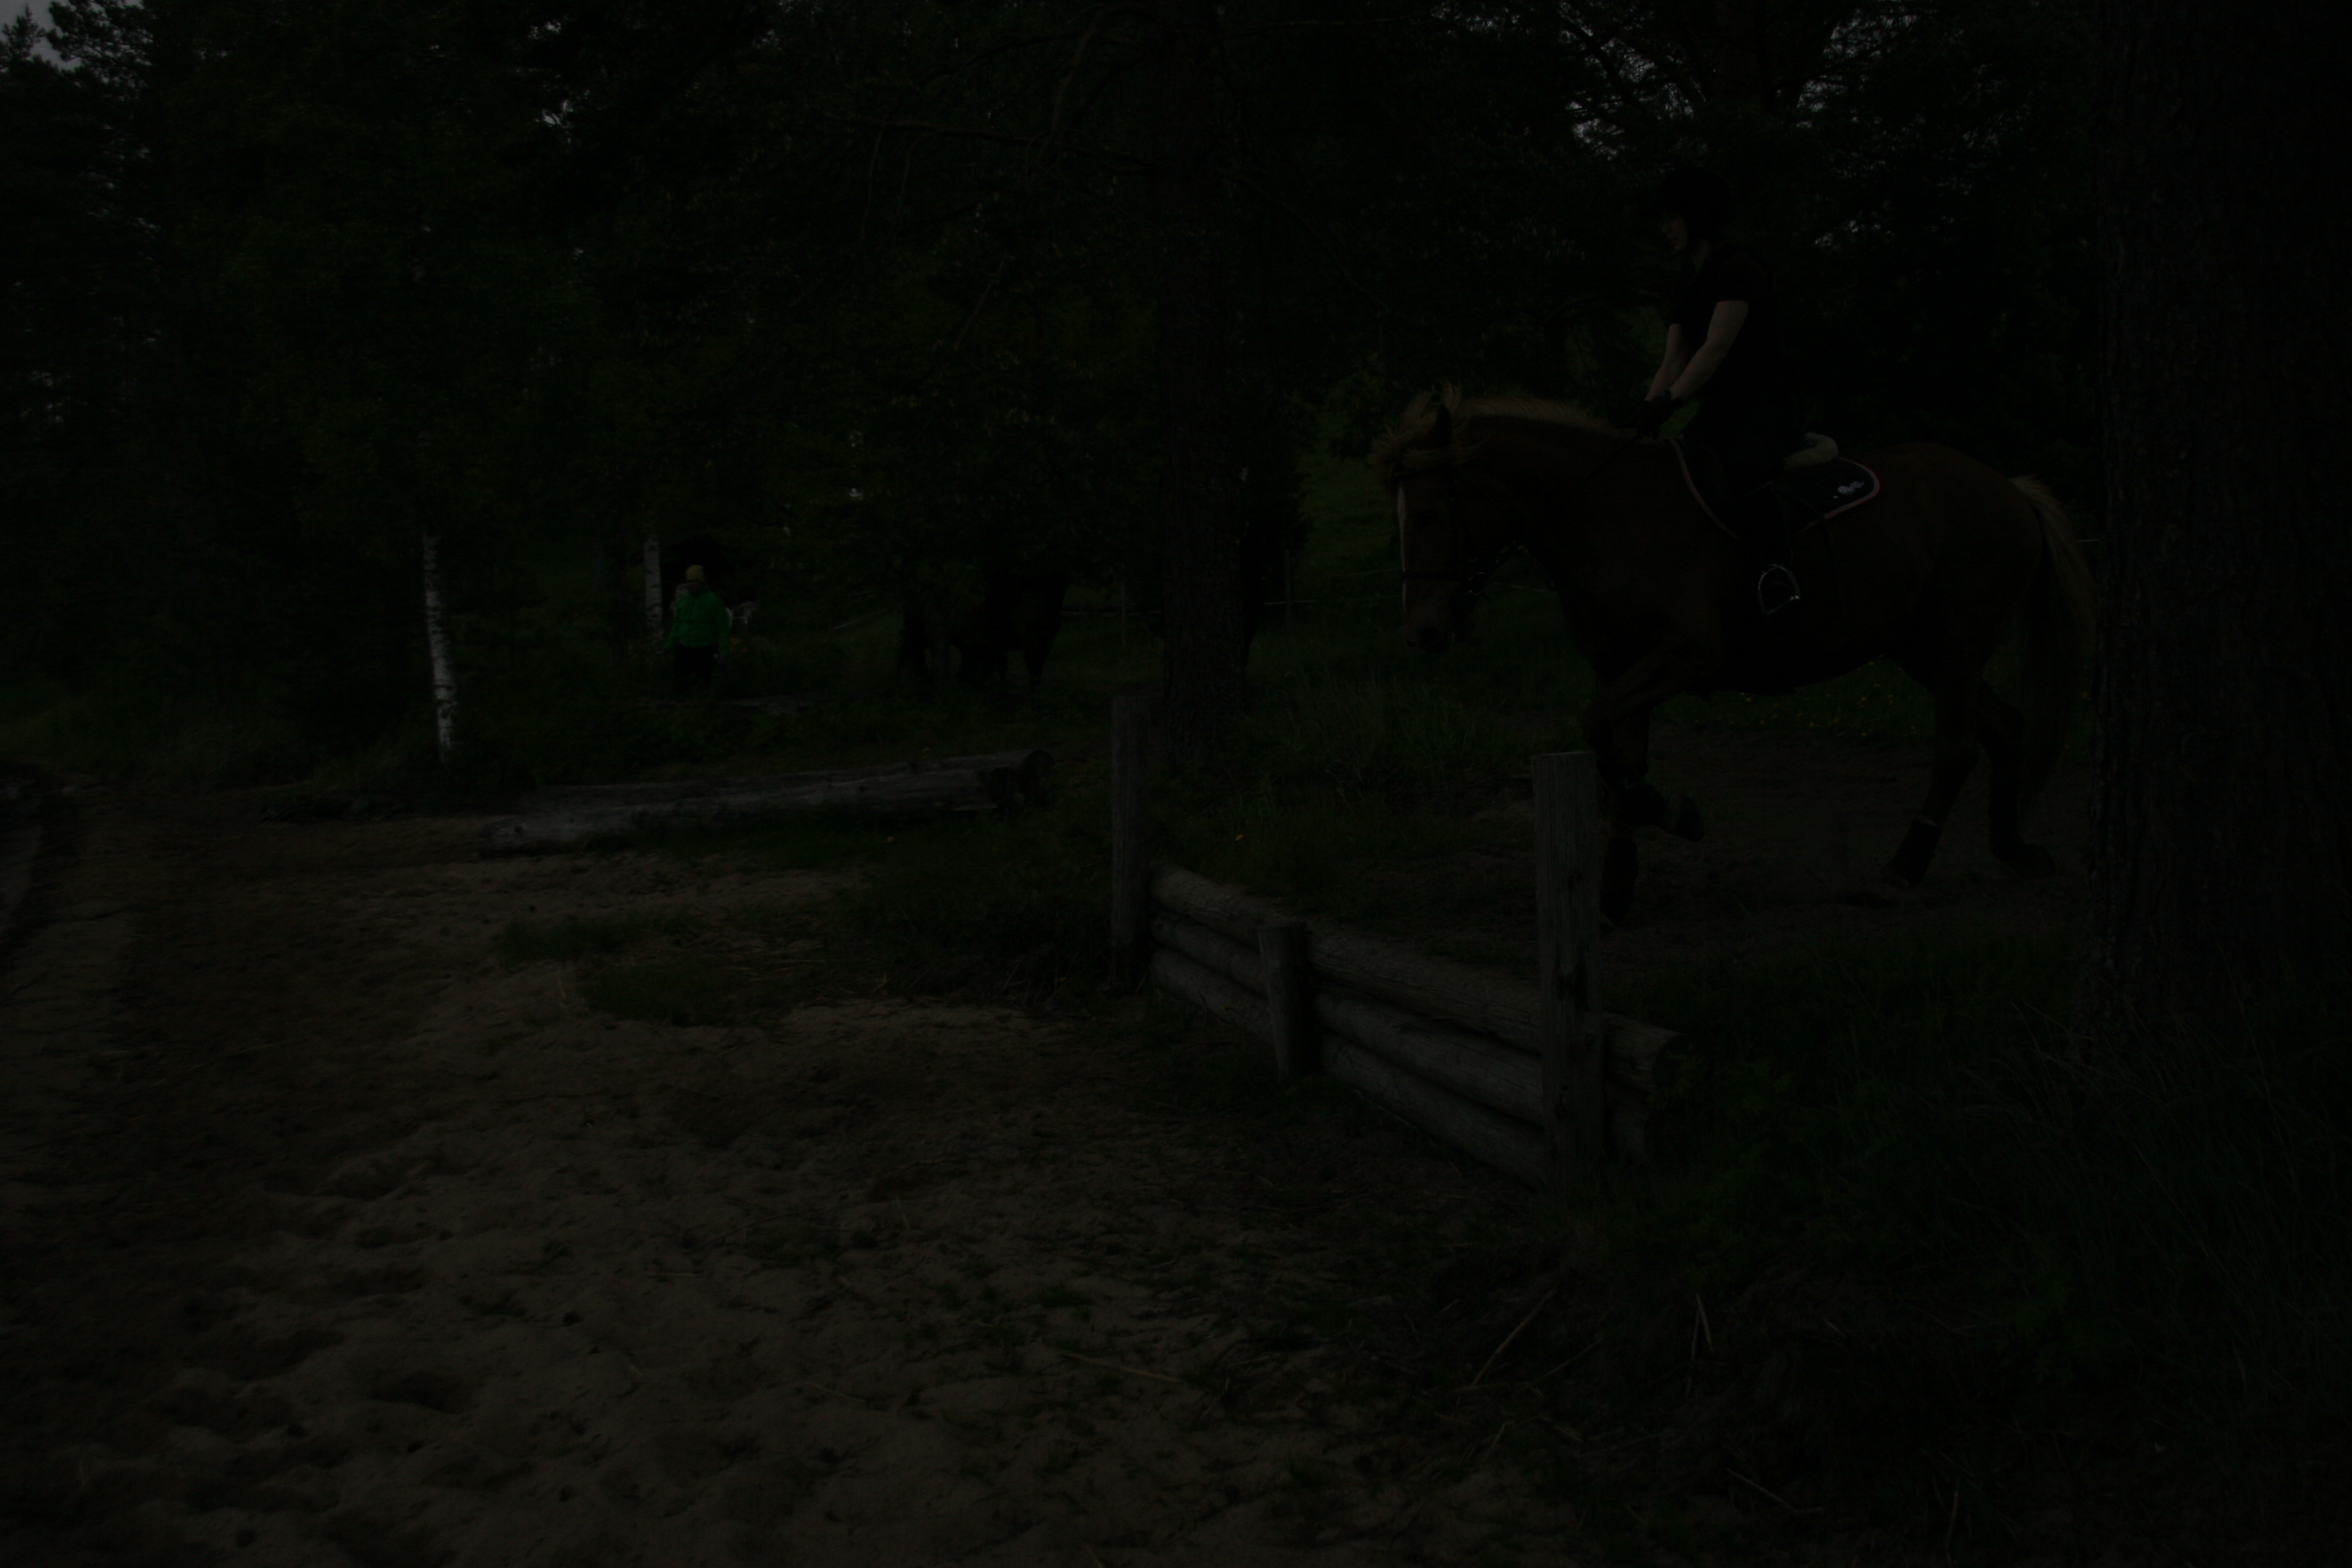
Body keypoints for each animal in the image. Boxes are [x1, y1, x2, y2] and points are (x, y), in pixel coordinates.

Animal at [1374, 389, 2095, 922]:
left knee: (1958, 748)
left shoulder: (1688, 655)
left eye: (1432, 513)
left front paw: (1676, 816)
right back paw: (2015, 849)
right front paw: (1618, 886)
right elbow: (1616, 754)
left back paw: (1900, 871)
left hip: (1958, 643)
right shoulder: (1621, 667)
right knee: (2006, 727)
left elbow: (1600, 731)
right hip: (1923, 648)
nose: (1422, 631)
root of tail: (2010, 489)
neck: (1609, 515)